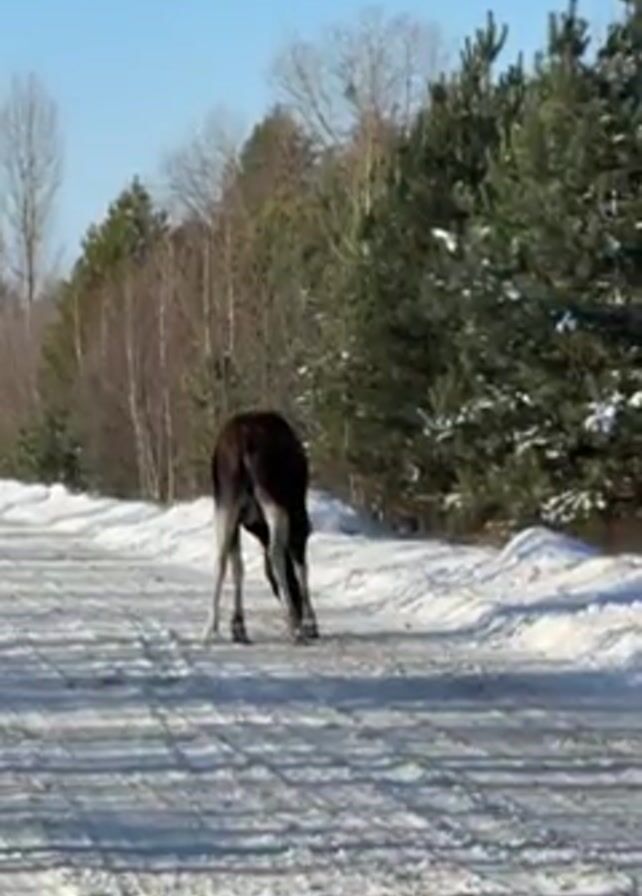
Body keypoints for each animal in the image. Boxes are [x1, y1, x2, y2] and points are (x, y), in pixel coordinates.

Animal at [202, 410, 319, 646]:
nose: (298, 614)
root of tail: (242, 440)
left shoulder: (240, 520)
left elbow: (238, 566)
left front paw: (237, 625)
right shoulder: (299, 522)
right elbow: (301, 568)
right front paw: (310, 623)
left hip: (226, 502)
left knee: (221, 559)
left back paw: (211, 627)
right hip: (275, 500)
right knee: (275, 554)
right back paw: (295, 627)